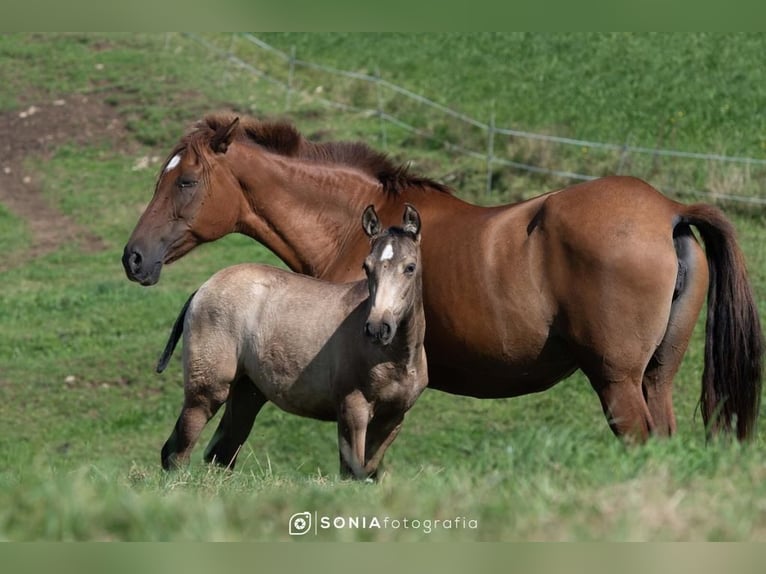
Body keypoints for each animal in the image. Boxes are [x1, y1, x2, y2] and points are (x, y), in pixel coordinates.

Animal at [123, 113, 764, 446]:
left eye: (186, 182)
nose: (134, 257)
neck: (353, 227)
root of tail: (670, 210)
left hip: (617, 382)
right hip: (654, 377)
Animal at [158, 205, 428, 480]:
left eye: (410, 267)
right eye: (366, 266)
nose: (377, 328)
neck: (394, 360)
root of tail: (203, 288)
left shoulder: (392, 419)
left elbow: (368, 473)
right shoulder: (353, 410)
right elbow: (351, 473)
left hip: (247, 394)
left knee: (220, 453)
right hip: (207, 391)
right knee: (178, 451)